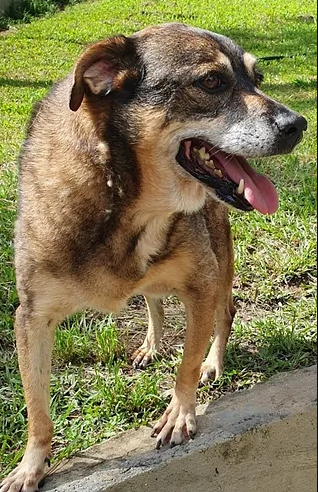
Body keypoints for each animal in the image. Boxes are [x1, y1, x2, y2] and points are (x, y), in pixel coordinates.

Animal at [1, 22, 306, 492]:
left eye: (257, 78)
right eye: (211, 82)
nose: (299, 124)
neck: (122, 200)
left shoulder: (202, 283)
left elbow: (187, 363)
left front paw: (180, 413)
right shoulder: (32, 316)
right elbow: (37, 408)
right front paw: (30, 465)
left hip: (220, 263)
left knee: (225, 312)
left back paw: (214, 362)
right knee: (153, 301)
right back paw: (151, 344)